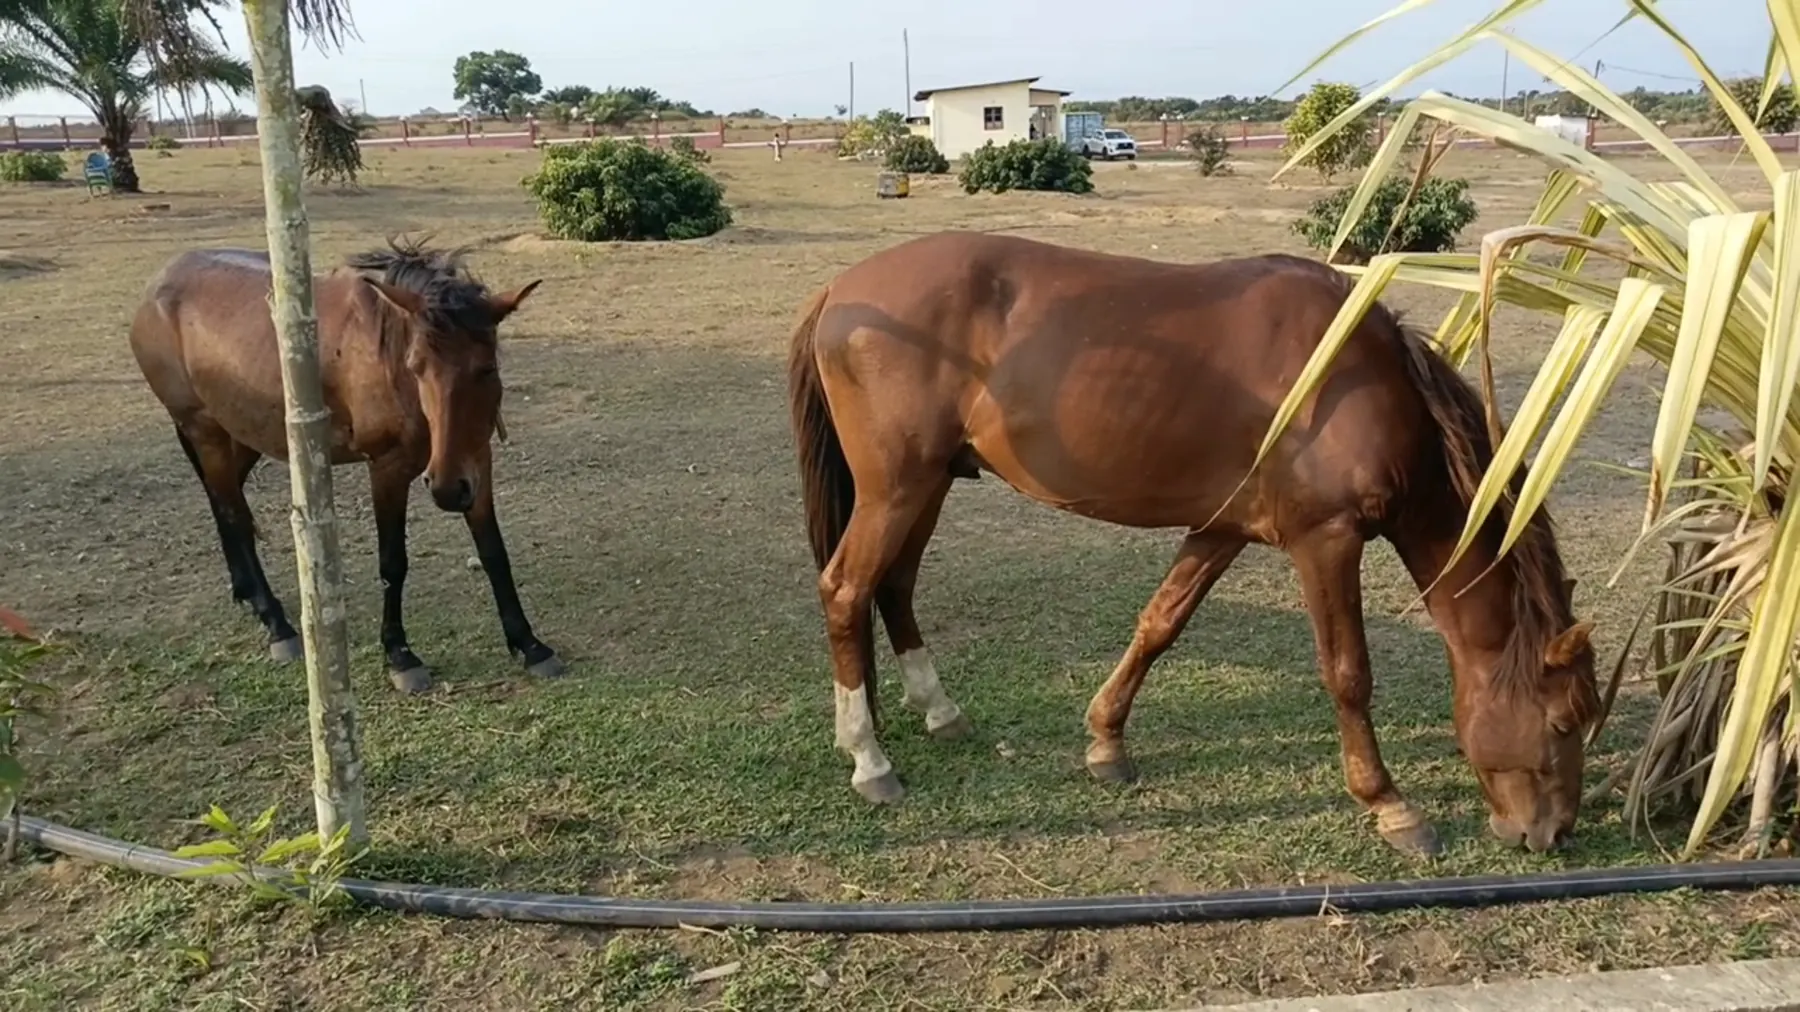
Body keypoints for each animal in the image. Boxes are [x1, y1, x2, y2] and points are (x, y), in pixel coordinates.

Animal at [127, 237, 564, 694]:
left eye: (487, 368)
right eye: (416, 366)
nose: (446, 490)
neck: (387, 359)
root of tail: (156, 286)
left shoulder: (476, 462)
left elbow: (494, 551)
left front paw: (529, 644)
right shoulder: (388, 468)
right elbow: (393, 562)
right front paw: (400, 655)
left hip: (243, 433)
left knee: (224, 504)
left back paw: (245, 591)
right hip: (205, 430)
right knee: (231, 512)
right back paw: (276, 623)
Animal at [786, 230, 1600, 856]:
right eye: (1562, 722)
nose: (1553, 835)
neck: (1356, 376)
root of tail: (839, 291)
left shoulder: (1221, 530)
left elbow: (1159, 625)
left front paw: (1106, 743)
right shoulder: (1326, 540)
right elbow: (1348, 674)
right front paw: (1390, 804)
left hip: (928, 485)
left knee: (894, 588)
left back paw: (940, 712)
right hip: (896, 489)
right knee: (847, 591)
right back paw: (869, 759)